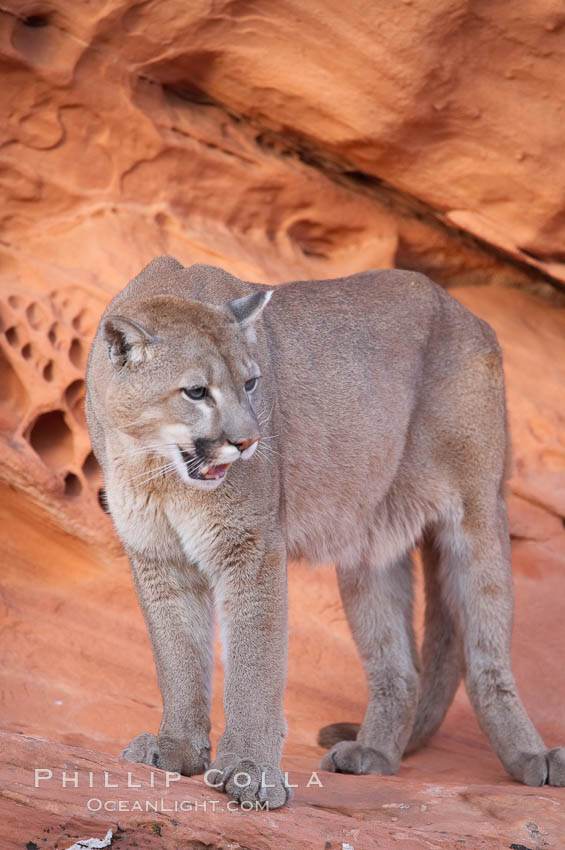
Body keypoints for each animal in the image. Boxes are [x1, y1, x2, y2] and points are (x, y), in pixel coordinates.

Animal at [86, 253, 560, 808]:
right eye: (197, 392)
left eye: (252, 383)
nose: (248, 441)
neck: (155, 468)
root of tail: (466, 312)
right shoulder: (157, 556)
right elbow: (178, 656)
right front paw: (177, 748)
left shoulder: (251, 547)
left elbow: (256, 664)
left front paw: (250, 771)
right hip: (371, 548)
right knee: (399, 666)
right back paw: (373, 755)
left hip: (476, 513)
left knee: (488, 657)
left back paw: (533, 759)